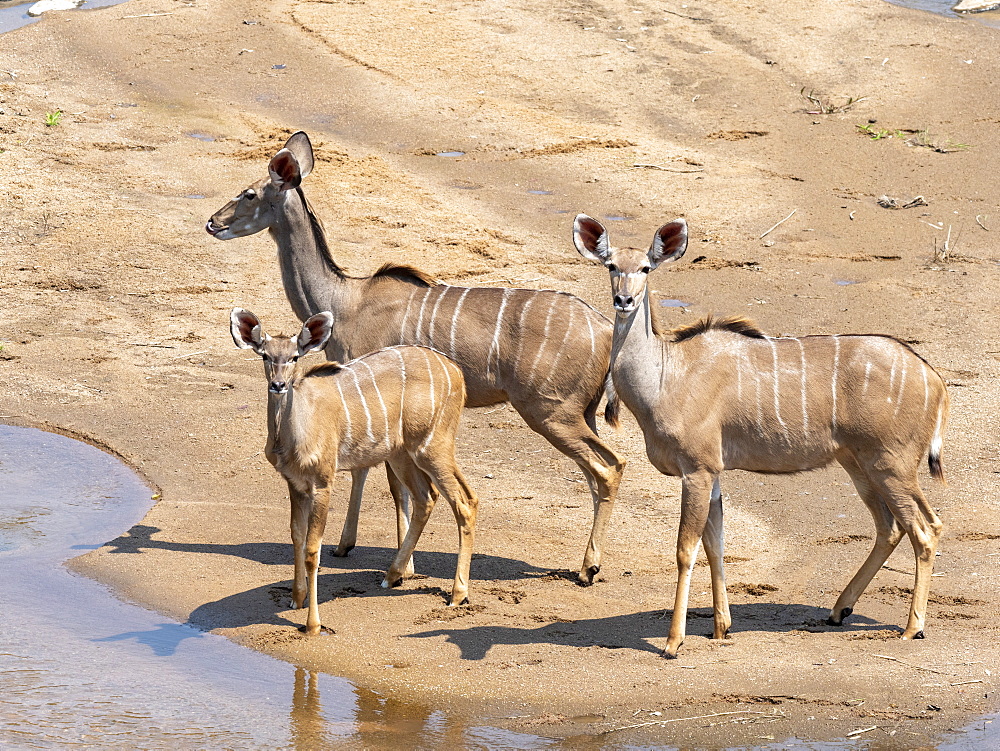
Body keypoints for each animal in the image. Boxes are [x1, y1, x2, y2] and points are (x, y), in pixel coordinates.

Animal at [209, 132, 624, 584]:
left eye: (250, 193)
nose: (213, 222)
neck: (345, 300)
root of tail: (605, 328)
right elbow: (372, 471)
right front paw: (352, 546)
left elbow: (390, 482)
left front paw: (398, 563)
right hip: (580, 414)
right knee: (599, 470)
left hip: (550, 412)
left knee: (608, 468)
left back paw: (589, 567)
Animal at [231, 308, 480, 636]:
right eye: (265, 355)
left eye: (295, 356)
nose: (279, 385)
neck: (295, 434)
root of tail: (456, 372)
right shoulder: (294, 484)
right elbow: (296, 536)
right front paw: (296, 599)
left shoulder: (323, 481)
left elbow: (313, 550)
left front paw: (313, 624)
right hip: (402, 454)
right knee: (426, 497)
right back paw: (392, 575)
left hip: (432, 446)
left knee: (465, 501)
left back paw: (458, 594)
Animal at [576, 213, 948, 656]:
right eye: (611, 265)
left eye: (647, 268)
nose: (624, 300)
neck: (668, 374)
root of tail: (934, 380)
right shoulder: (714, 473)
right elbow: (715, 545)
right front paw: (721, 627)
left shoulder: (697, 470)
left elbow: (686, 549)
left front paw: (673, 641)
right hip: (860, 464)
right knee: (891, 527)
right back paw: (838, 610)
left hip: (892, 464)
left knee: (925, 529)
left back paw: (912, 627)